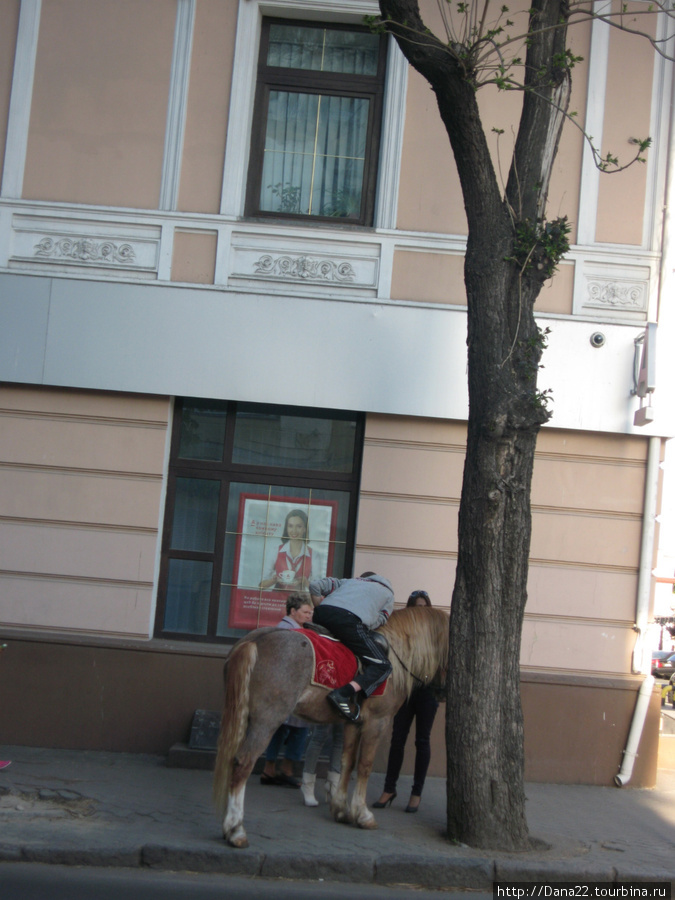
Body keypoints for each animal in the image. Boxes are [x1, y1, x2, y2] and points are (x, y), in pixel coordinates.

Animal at [214, 604, 452, 852]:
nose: (442, 693)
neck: (397, 658)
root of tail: (254, 642)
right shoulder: (377, 722)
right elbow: (364, 766)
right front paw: (363, 814)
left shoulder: (352, 722)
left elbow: (346, 763)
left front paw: (341, 809)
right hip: (267, 719)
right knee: (243, 762)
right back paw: (236, 830)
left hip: (242, 715)